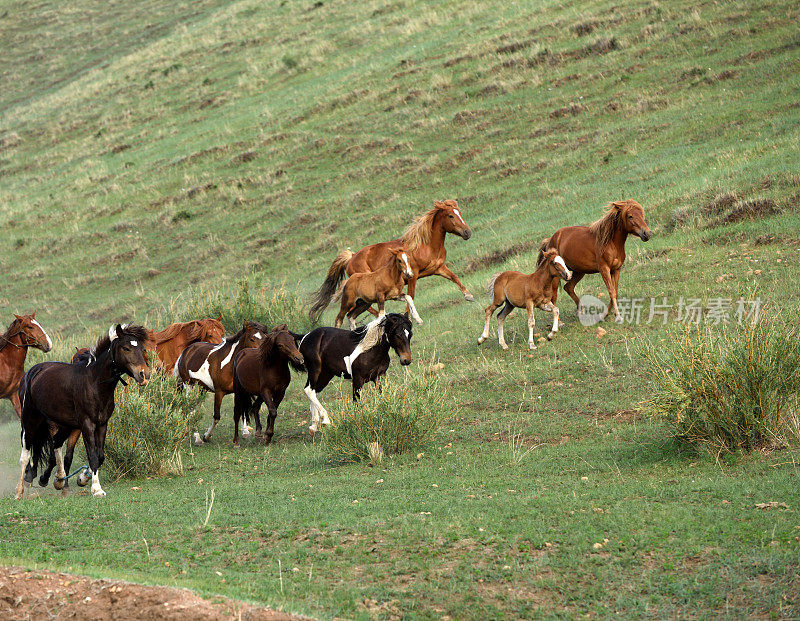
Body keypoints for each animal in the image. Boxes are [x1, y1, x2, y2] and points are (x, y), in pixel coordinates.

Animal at [15, 324, 150, 498]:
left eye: (142, 348)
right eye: (126, 348)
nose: (144, 375)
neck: (94, 383)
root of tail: (32, 372)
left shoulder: (102, 424)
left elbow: (99, 456)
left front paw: (83, 478)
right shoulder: (87, 424)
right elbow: (92, 455)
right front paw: (97, 489)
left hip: (65, 424)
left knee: (56, 444)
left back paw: (58, 479)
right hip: (30, 420)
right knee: (25, 455)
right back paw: (20, 491)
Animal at [304, 200, 468, 320]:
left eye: (460, 212)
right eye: (451, 216)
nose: (467, 232)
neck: (425, 245)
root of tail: (351, 257)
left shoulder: (439, 268)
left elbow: (454, 277)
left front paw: (469, 296)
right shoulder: (413, 275)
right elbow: (411, 295)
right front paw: (408, 316)